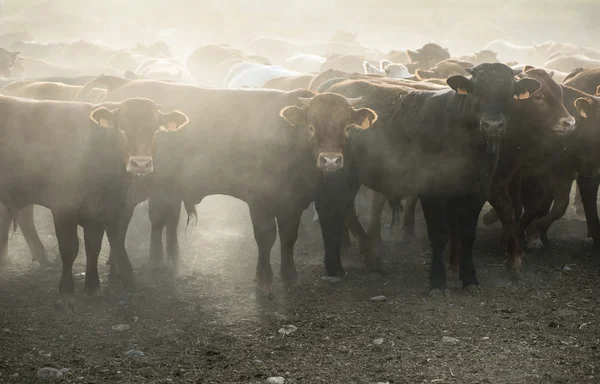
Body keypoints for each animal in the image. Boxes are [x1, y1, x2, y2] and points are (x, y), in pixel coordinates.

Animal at [0, 95, 189, 308]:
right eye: (121, 130)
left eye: (155, 131)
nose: (141, 163)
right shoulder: (64, 208)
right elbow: (70, 249)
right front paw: (66, 291)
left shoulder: (110, 211)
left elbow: (99, 246)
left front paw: (97, 286)